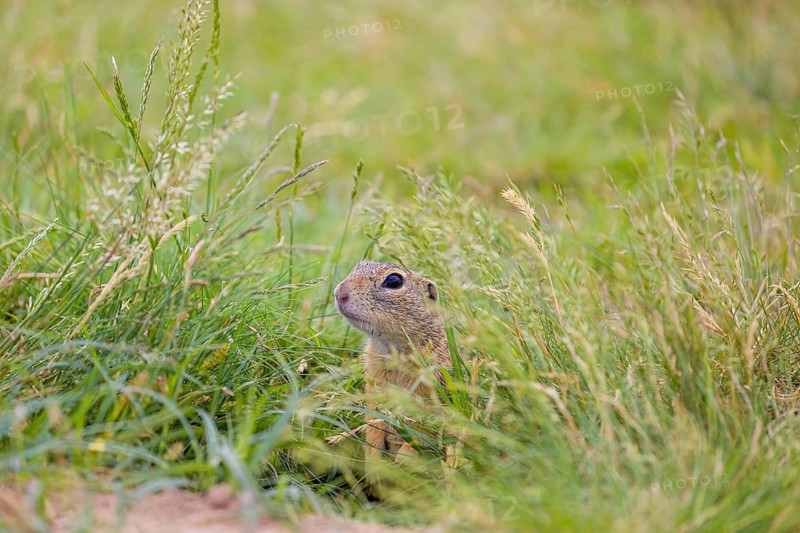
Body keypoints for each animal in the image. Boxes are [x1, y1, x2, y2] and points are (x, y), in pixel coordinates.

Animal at [334, 260, 452, 464]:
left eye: (394, 280)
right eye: (359, 265)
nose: (339, 293)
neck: (392, 350)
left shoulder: (432, 391)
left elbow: (425, 428)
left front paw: (403, 458)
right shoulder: (374, 384)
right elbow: (373, 422)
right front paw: (374, 460)